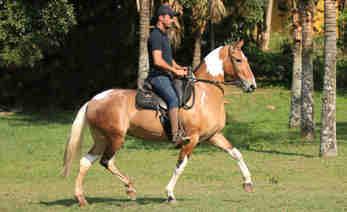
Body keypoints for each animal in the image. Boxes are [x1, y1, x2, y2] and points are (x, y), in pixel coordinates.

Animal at [64, 39, 256, 205]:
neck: (205, 92)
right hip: (115, 138)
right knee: (107, 161)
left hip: (101, 139)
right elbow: (180, 165)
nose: (252, 86)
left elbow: (236, 153)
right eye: (238, 60)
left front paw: (248, 183)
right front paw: (170, 194)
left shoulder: (213, 136)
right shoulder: (191, 139)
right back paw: (130, 188)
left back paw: (81, 198)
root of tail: (94, 100)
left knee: (86, 161)